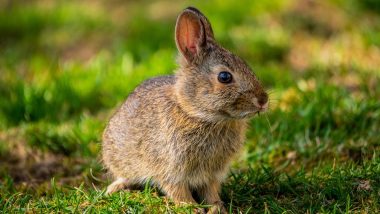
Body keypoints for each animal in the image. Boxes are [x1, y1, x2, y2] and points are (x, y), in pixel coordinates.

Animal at [101, 6, 268, 214]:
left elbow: (211, 191)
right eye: (224, 77)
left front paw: (216, 207)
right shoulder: (170, 168)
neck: (197, 114)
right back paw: (115, 188)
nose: (263, 100)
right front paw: (191, 207)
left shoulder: (211, 174)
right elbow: (177, 190)